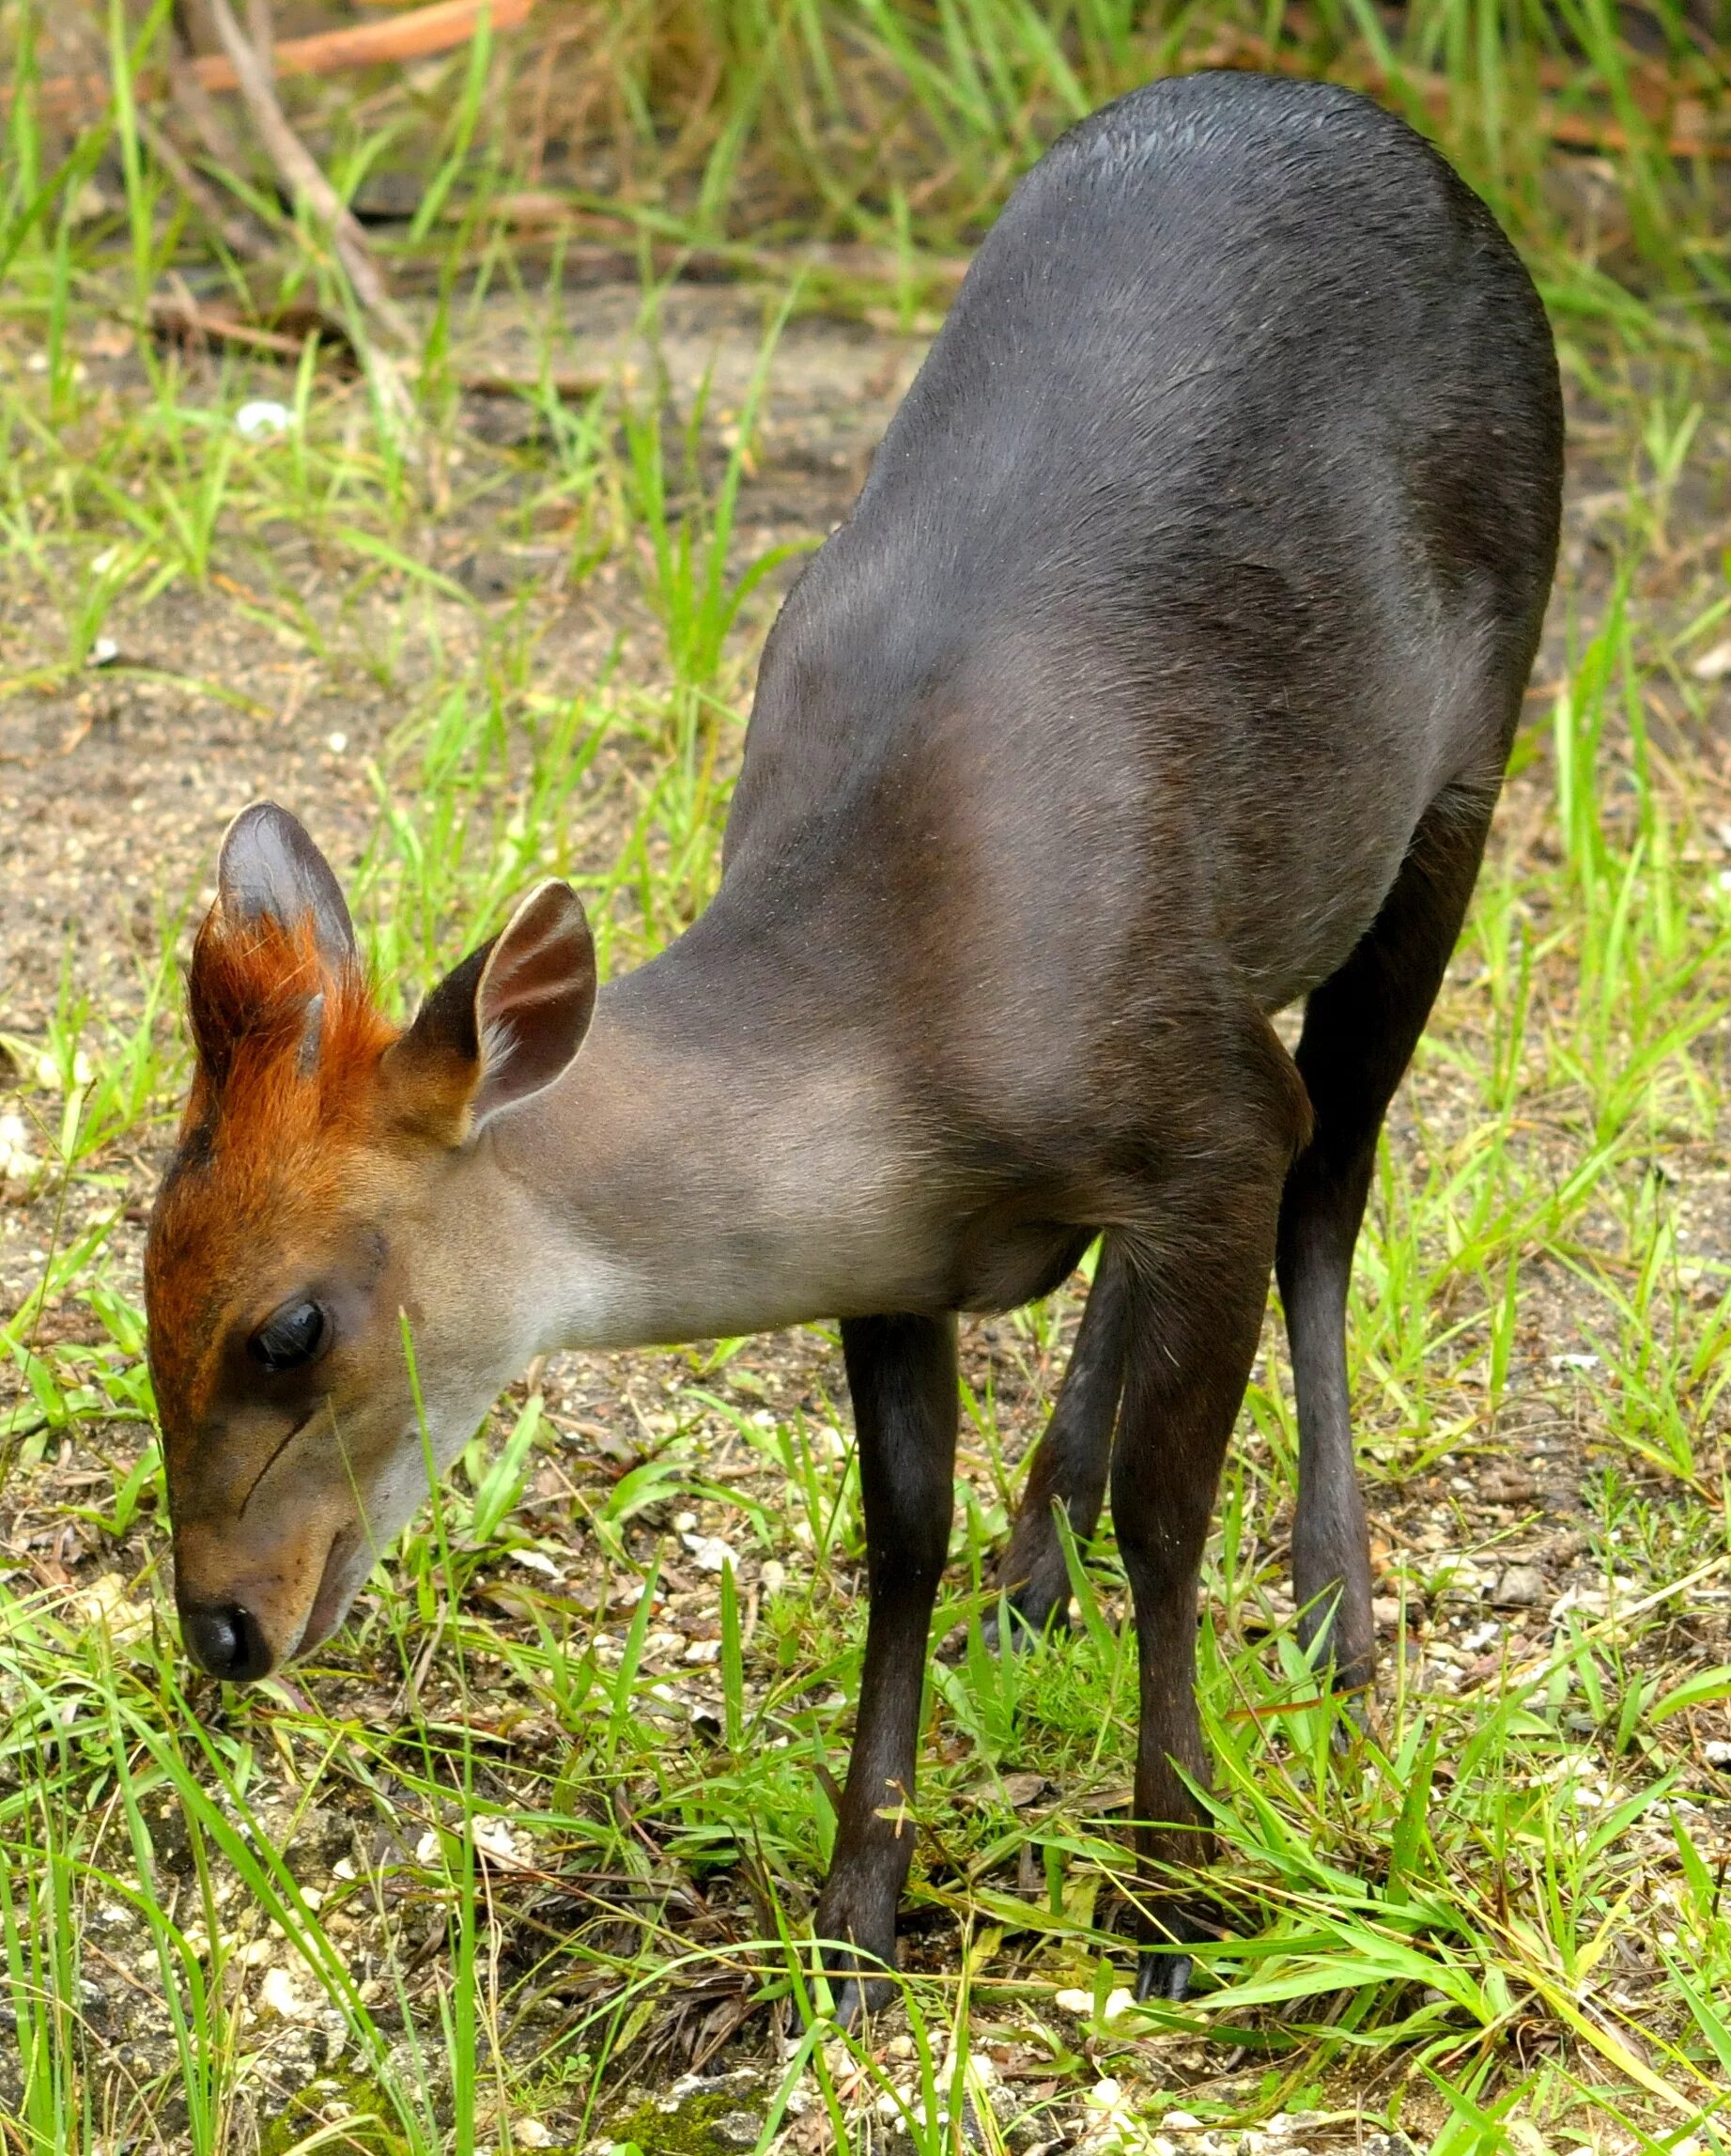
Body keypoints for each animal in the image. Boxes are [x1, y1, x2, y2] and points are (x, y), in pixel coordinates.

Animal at [142, 75, 1560, 2009]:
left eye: (288, 1328)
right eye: (145, 1275)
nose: (219, 1623)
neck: (906, 1012)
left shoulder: (1188, 1116)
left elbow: (1173, 1511)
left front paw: (1174, 1889)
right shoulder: (906, 1246)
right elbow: (900, 1532)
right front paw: (857, 1911)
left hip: (1461, 766)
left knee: (1331, 1182)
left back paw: (1334, 1610)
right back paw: (1037, 1568)